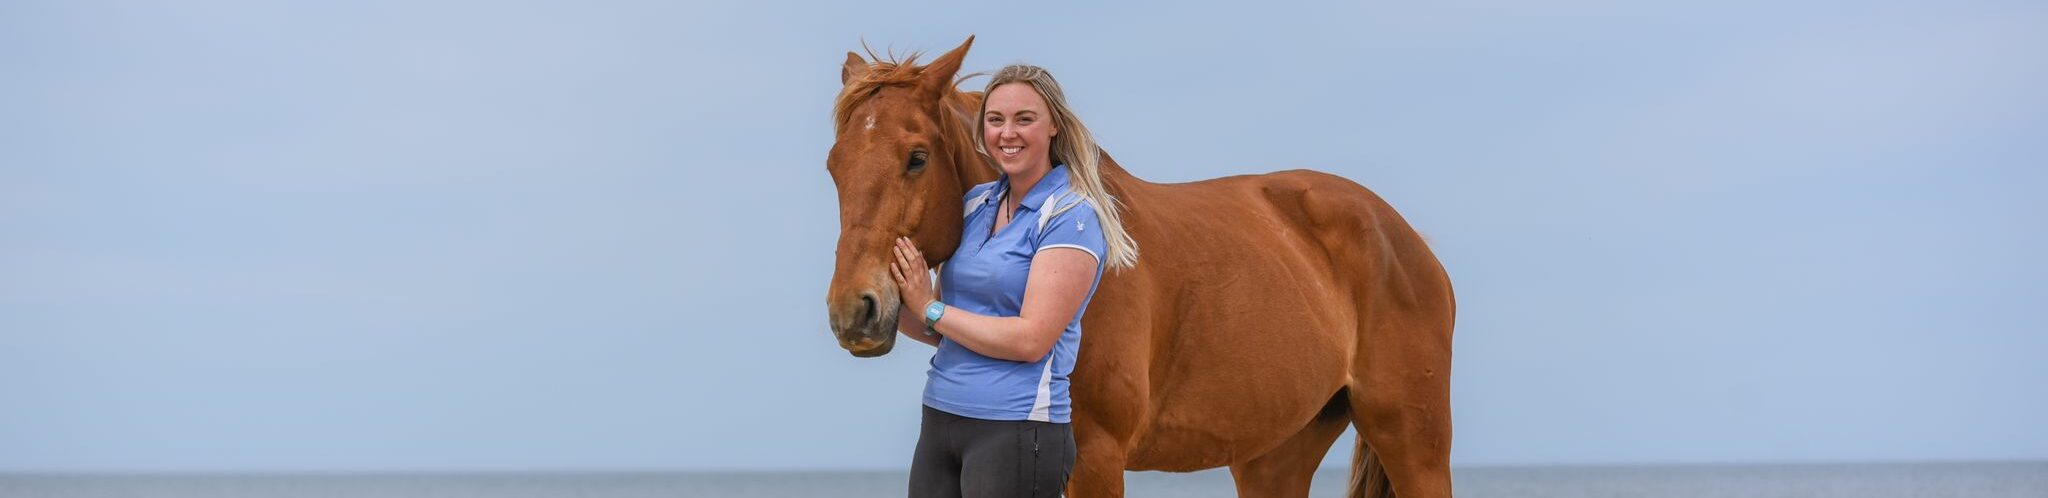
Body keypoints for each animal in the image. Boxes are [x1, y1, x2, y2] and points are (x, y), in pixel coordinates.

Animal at [819, 37, 1458, 498]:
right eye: (835, 165)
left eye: (916, 158)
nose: (855, 310)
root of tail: (1401, 237)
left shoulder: (1098, 459)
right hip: (1275, 455)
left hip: (1415, 446)